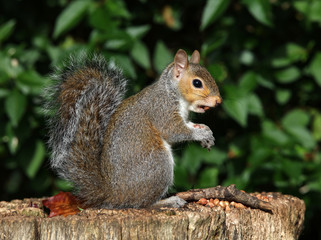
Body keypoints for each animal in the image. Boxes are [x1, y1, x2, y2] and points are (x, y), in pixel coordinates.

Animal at [46, 48, 221, 208]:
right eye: (197, 83)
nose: (218, 101)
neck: (172, 92)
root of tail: (114, 193)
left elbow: (189, 125)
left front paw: (207, 132)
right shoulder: (161, 110)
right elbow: (174, 131)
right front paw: (200, 134)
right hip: (158, 164)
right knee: (144, 204)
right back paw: (168, 201)